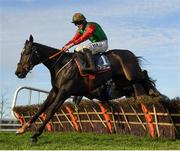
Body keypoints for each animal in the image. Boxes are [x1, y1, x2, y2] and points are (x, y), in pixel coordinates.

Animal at [14, 35, 158, 143]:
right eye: (21, 53)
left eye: (27, 52)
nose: (18, 72)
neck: (61, 64)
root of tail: (130, 53)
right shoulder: (55, 90)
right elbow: (42, 108)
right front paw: (23, 128)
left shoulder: (64, 92)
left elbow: (51, 111)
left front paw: (35, 135)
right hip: (122, 81)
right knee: (142, 78)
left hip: (131, 75)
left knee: (144, 74)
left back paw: (153, 92)